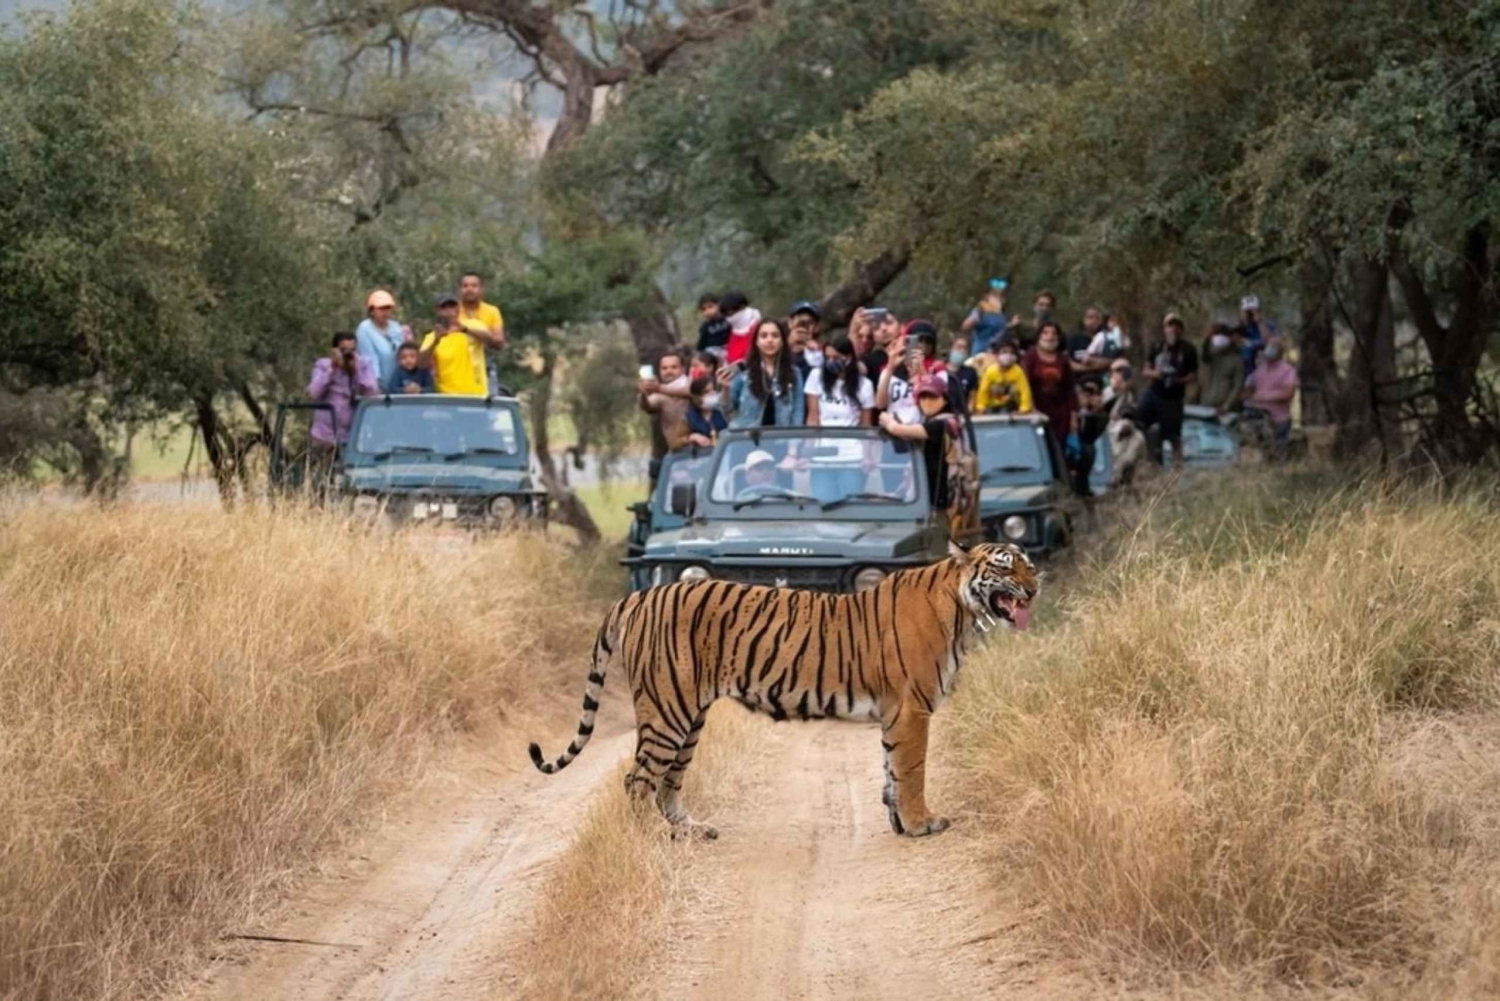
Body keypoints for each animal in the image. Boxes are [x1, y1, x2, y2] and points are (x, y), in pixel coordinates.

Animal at [525, 540, 1032, 840]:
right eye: (1006, 569)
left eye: (1028, 565)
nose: (1035, 586)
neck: (962, 609)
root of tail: (640, 595)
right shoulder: (912, 708)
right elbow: (911, 771)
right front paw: (923, 822)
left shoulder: (896, 714)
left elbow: (891, 770)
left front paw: (900, 822)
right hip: (667, 711)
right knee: (637, 780)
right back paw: (652, 839)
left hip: (688, 718)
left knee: (668, 782)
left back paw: (692, 831)